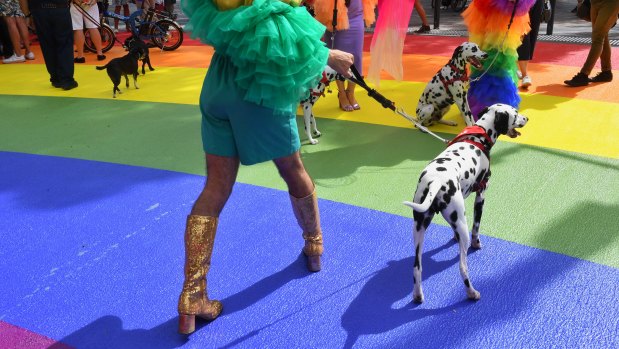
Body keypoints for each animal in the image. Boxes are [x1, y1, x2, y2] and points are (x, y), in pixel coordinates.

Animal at [404, 102, 532, 302]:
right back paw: (472, 292)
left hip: (419, 229)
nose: (527, 118)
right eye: (516, 113)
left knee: (417, 267)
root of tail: (435, 182)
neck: (479, 134)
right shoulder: (481, 196)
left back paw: (418, 295)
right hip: (461, 227)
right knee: (462, 267)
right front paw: (477, 243)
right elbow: (476, 228)